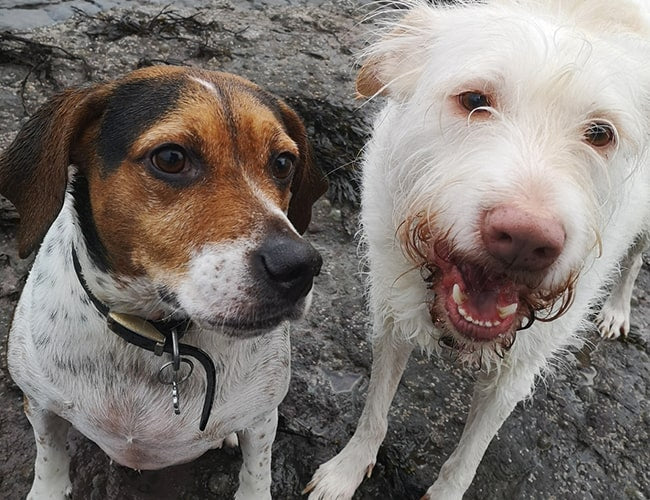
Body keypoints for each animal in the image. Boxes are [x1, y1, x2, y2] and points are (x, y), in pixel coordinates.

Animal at [0, 65, 327, 499]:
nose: (299, 266)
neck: (158, 335)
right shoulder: (39, 403)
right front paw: (48, 489)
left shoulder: (262, 418)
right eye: (171, 158)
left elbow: (256, 472)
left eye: (283, 163)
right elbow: (49, 457)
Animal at [306, 1, 650, 498]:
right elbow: (375, 406)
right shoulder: (392, 312)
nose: (526, 239)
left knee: (635, 259)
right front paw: (348, 467)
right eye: (473, 100)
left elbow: (469, 455)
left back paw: (618, 310)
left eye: (601, 133)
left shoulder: (515, 372)